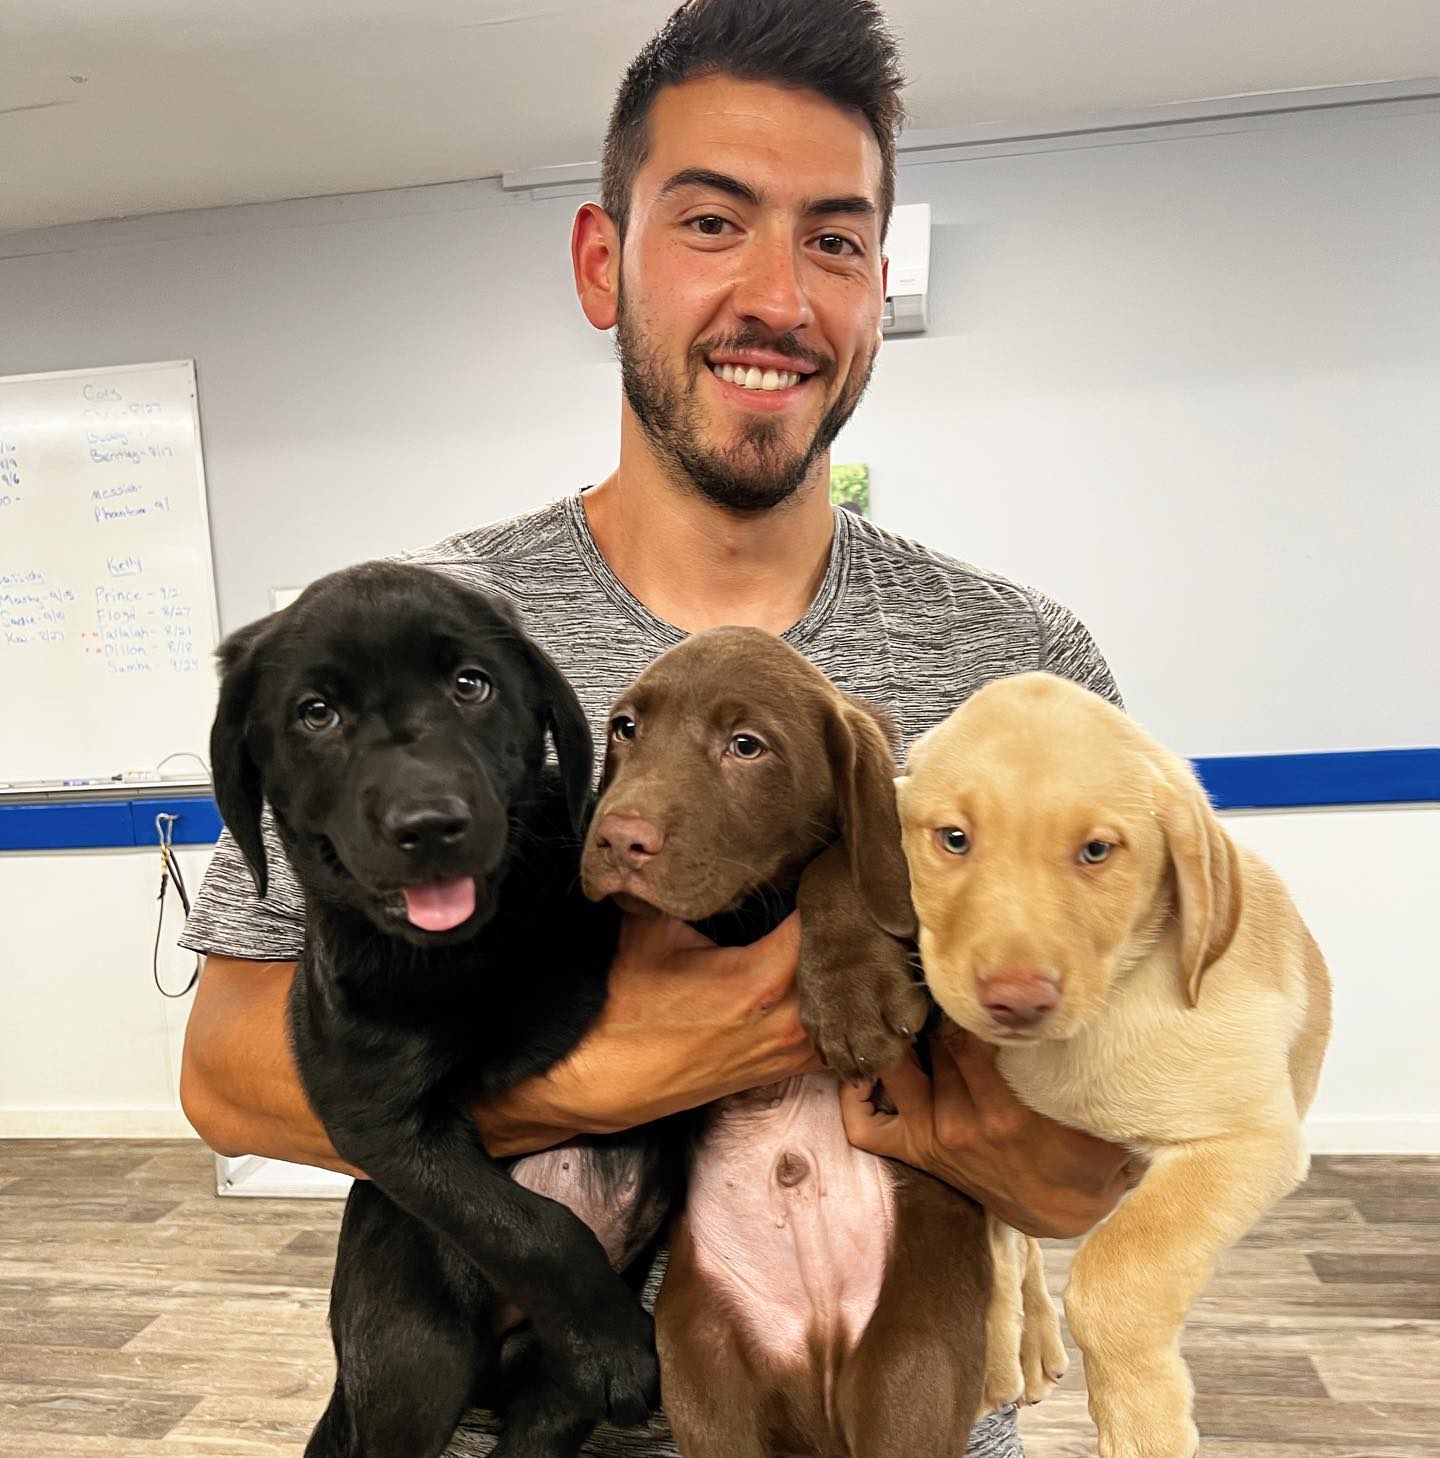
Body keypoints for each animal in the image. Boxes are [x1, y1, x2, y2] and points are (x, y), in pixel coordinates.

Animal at [209, 561, 674, 1458]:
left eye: (471, 685)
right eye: (316, 712)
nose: (428, 825)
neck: (472, 950)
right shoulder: (376, 1119)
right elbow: (523, 1222)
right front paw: (609, 1340)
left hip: (533, 1390)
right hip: (418, 1354)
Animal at [579, 626, 1035, 1458]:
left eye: (746, 745)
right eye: (626, 728)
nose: (617, 839)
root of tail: (816, 1363)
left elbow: (842, 861)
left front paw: (855, 997)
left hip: (911, 1364)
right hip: (701, 1360)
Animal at [894, 671, 1333, 1458]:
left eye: (1097, 852)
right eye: (954, 839)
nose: (1016, 1001)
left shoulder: (1243, 1142)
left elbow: (1115, 1270)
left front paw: (1142, 1423)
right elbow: (998, 1250)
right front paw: (1002, 1346)